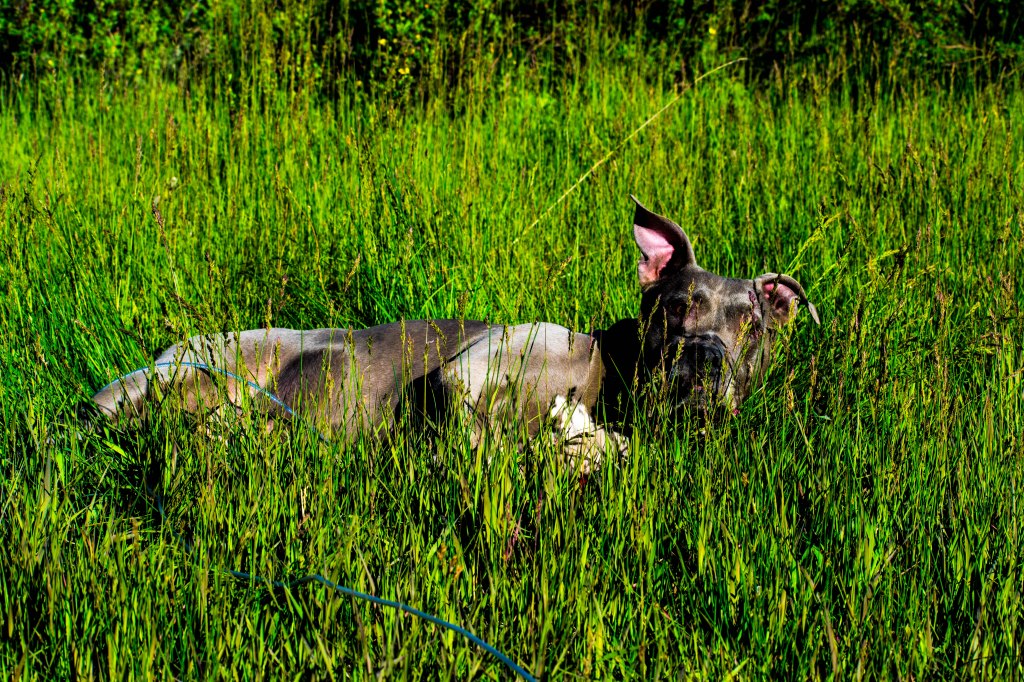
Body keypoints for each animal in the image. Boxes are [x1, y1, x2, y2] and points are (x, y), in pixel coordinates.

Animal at [87, 197, 818, 471]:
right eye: (674, 307)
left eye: (752, 326)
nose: (707, 360)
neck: (606, 370)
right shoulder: (465, 372)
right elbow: (481, 442)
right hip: (203, 366)